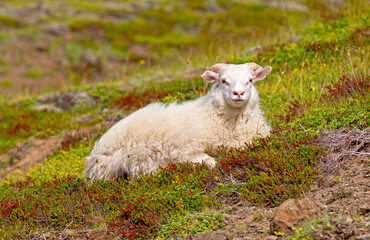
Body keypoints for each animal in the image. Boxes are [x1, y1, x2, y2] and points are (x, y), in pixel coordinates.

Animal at [84, 62, 272, 180]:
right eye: (223, 81)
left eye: (250, 80)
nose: (238, 93)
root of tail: (95, 154)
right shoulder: (183, 148)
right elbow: (207, 160)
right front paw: (208, 161)